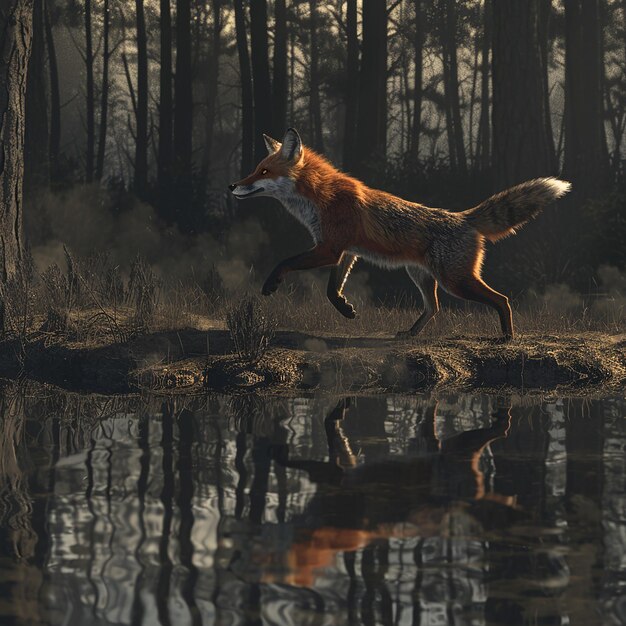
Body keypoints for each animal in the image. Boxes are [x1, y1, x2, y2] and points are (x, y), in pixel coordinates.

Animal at [229, 127, 572, 338]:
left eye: (263, 171)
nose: (232, 185)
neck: (319, 198)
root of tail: (463, 218)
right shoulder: (345, 251)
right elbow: (331, 290)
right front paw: (345, 310)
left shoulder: (330, 248)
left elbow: (285, 262)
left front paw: (271, 284)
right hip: (421, 276)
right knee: (434, 308)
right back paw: (411, 333)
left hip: (456, 281)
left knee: (502, 299)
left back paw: (506, 337)